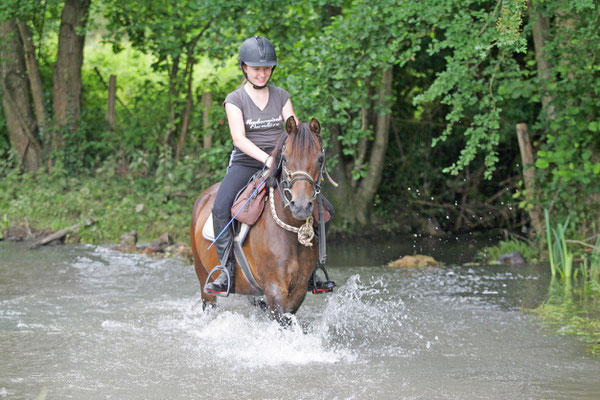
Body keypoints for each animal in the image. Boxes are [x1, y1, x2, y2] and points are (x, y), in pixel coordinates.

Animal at [190, 116, 326, 324]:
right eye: (285, 159)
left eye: (320, 159)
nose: (301, 206)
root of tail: (203, 197)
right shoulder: (274, 287)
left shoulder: (300, 287)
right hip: (204, 279)